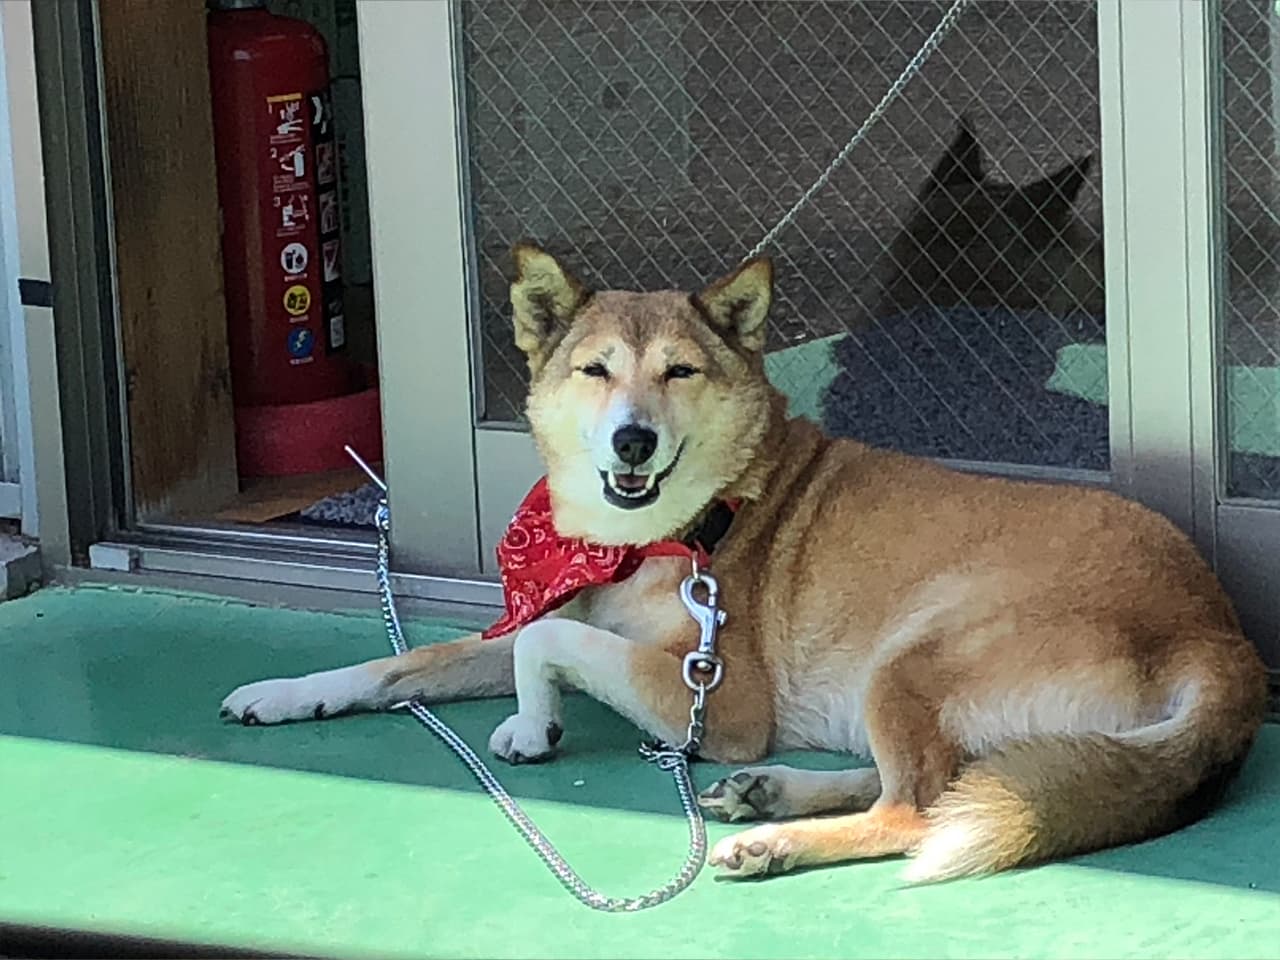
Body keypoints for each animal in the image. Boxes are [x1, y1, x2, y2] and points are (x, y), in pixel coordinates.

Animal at [215, 249, 1264, 885]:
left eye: (679, 372)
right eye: (595, 370)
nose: (633, 441)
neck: (657, 534)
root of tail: (1221, 639)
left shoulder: (716, 699)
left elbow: (540, 643)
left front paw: (532, 722)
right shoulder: (562, 615)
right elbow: (409, 661)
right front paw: (286, 692)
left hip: (914, 653)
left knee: (918, 810)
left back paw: (777, 838)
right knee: (939, 780)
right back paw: (775, 793)